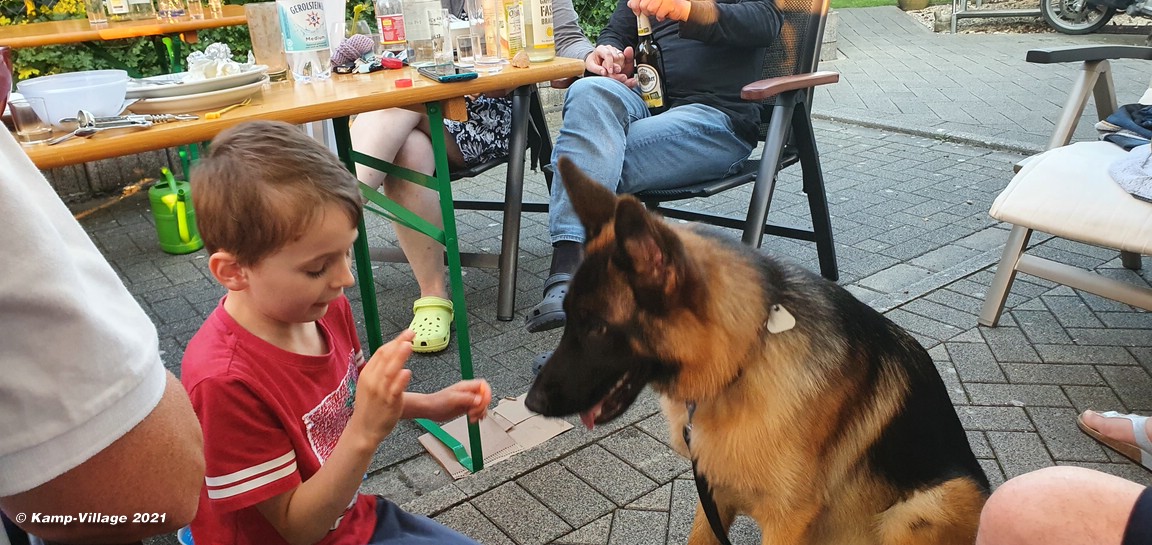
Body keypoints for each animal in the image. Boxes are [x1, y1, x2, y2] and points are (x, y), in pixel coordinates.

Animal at [525, 159, 990, 545]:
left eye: (598, 328)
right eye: (567, 317)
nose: (531, 403)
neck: (745, 359)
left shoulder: (786, 521)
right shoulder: (712, 497)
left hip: (922, 508)